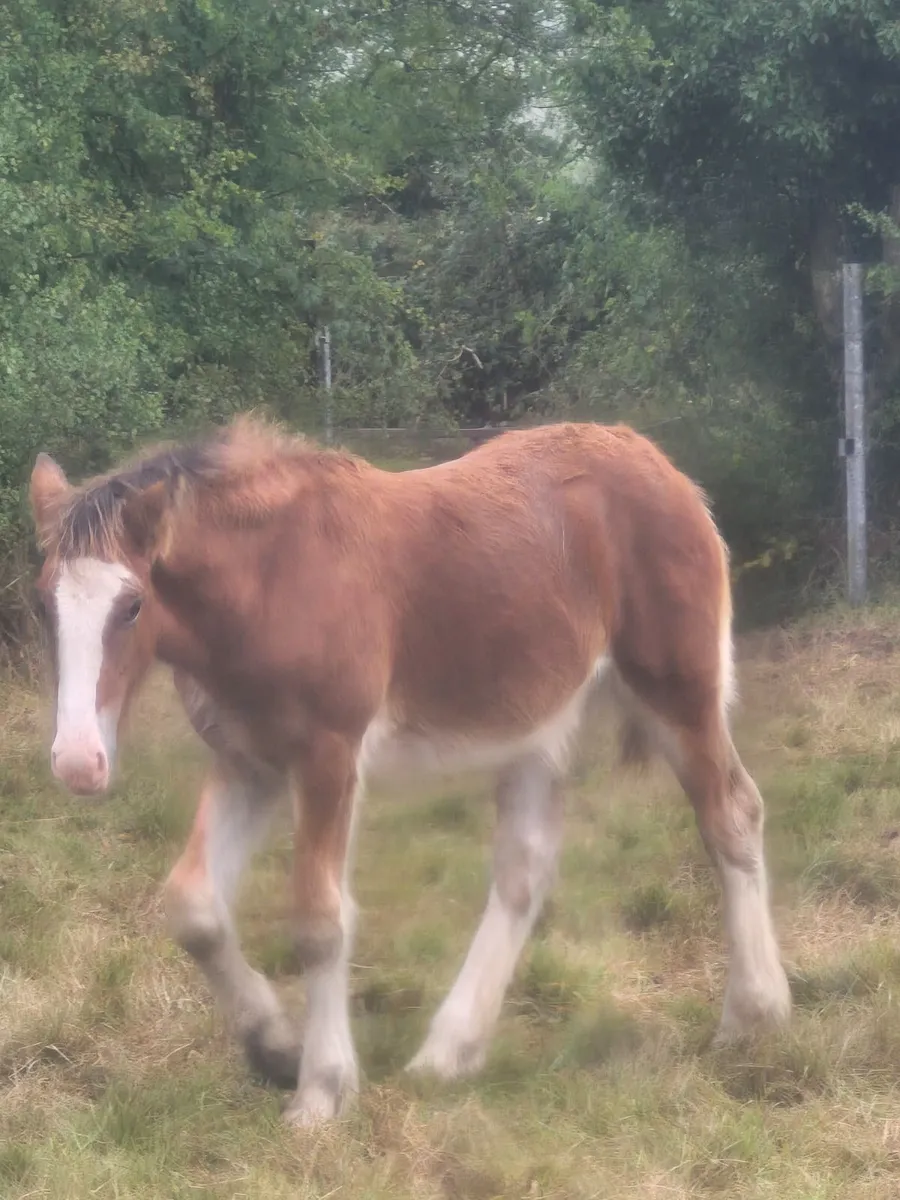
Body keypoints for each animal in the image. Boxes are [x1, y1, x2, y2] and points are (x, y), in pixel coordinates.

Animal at [29, 417, 791, 1126]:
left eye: (132, 605)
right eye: (40, 604)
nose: (77, 762)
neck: (270, 580)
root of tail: (656, 461)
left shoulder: (328, 754)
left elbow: (319, 919)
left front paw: (321, 1090)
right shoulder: (249, 762)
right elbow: (193, 906)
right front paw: (274, 1049)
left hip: (677, 691)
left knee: (732, 815)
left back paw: (754, 1015)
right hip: (538, 727)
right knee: (525, 871)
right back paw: (448, 1054)